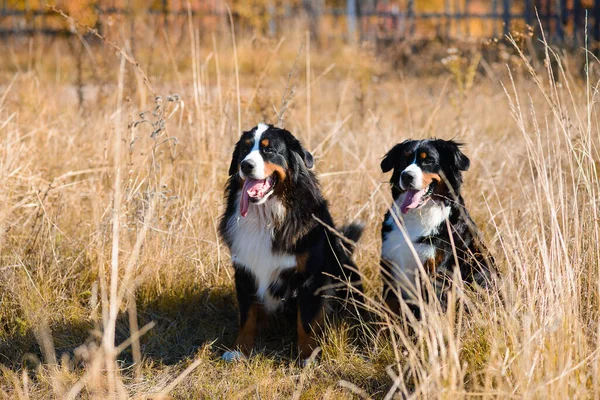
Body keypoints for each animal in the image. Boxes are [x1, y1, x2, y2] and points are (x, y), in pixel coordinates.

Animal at [219, 123, 360, 364]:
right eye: (244, 150)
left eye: (268, 150)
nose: (245, 165)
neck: (266, 216)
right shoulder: (244, 271)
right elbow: (246, 317)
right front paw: (239, 350)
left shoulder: (309, 276)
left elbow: (305, 321)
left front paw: (307, 355)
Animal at [380, 139, 496, 318]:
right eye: (404, 159)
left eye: (428, 160)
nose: (406, 176)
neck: (418, 214)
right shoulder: (390, 265)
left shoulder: (436, 273)